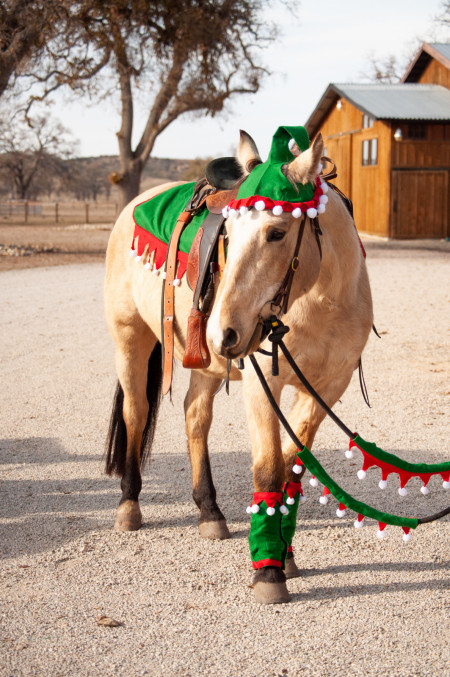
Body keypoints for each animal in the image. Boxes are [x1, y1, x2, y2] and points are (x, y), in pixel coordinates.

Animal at [104, 125, 372, 604]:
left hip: (204, 362)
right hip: (130, 338)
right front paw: (269, 573)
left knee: (195, 417)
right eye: (227, 232)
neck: (324, 301)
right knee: (135, 412)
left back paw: (209, 512)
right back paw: (129, 506)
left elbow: (290, 470)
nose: (222, 333)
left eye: (277, 232)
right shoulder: (263, 385)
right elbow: (267, 469)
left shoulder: (326, 389)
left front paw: (284, 555)